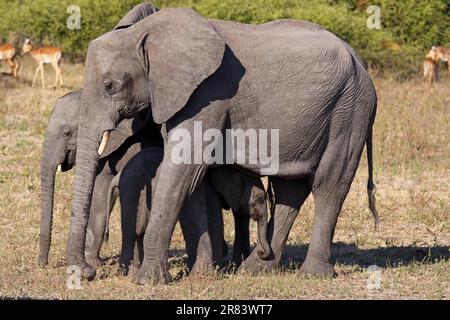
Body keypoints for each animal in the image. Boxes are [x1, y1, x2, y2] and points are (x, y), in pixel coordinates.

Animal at [105, 148, 270, 276]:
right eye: (260, 198)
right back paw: (129, 272)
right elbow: (214, 217)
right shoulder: (207, 187)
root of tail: (118, 176)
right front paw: (218, 267)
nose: (261, 253)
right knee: (135, 230)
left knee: (139, 231)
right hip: (132, 188)